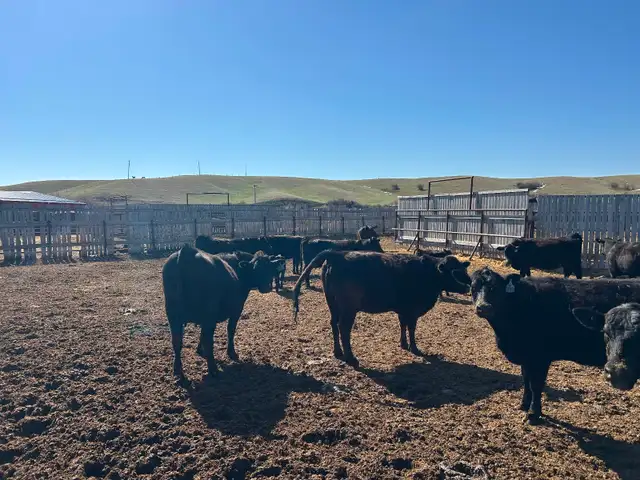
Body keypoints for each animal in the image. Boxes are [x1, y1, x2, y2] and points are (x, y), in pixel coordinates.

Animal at [162, 245, 274, 379]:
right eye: (257, 268)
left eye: (269, 267)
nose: (267, 287)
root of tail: (187, 250)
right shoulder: (236, 310)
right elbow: (230, 330)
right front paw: (231, 352)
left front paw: (199, 350)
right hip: (207, 314)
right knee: (207, 340)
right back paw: (213, 369)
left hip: (173, 316)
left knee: (176, 341)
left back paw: (178, 370)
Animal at [292, 251, 472, 368]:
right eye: (454, 272)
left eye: (463, 269)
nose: (469, 285)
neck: (428, 273)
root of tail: (337, 254)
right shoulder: (413, 310)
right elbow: (411, 328)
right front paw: (415, 348)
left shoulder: (403, 309)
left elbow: (403, 325)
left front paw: (403, 344)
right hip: (348, 308)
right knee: (344, 328)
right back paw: (351, 358)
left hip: (332, 303)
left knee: (333, 324)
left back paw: (338, 352)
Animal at [470, 266, 640, 424]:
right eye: (473, 287)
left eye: (495, 288)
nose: (483, 307)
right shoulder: (526, 356)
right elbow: (526, 379)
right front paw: (524, 404)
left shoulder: (540, 357)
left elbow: (536, 384)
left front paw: (533, 414)